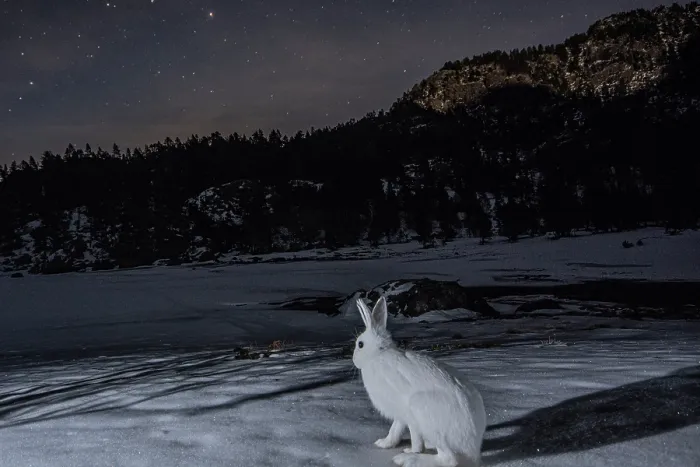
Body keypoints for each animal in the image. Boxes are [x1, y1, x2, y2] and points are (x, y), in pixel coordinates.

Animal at [352, 296, 486, 467]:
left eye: (360, 344)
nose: (354, 360)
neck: (378, 355)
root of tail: (472, 449)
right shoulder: (400, 414)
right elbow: (395, 429)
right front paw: (384, 443)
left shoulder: (409, 415)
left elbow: (414, 437)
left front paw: (413, 451)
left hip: (424, 411)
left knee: (449, 459)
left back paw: (408, 459)